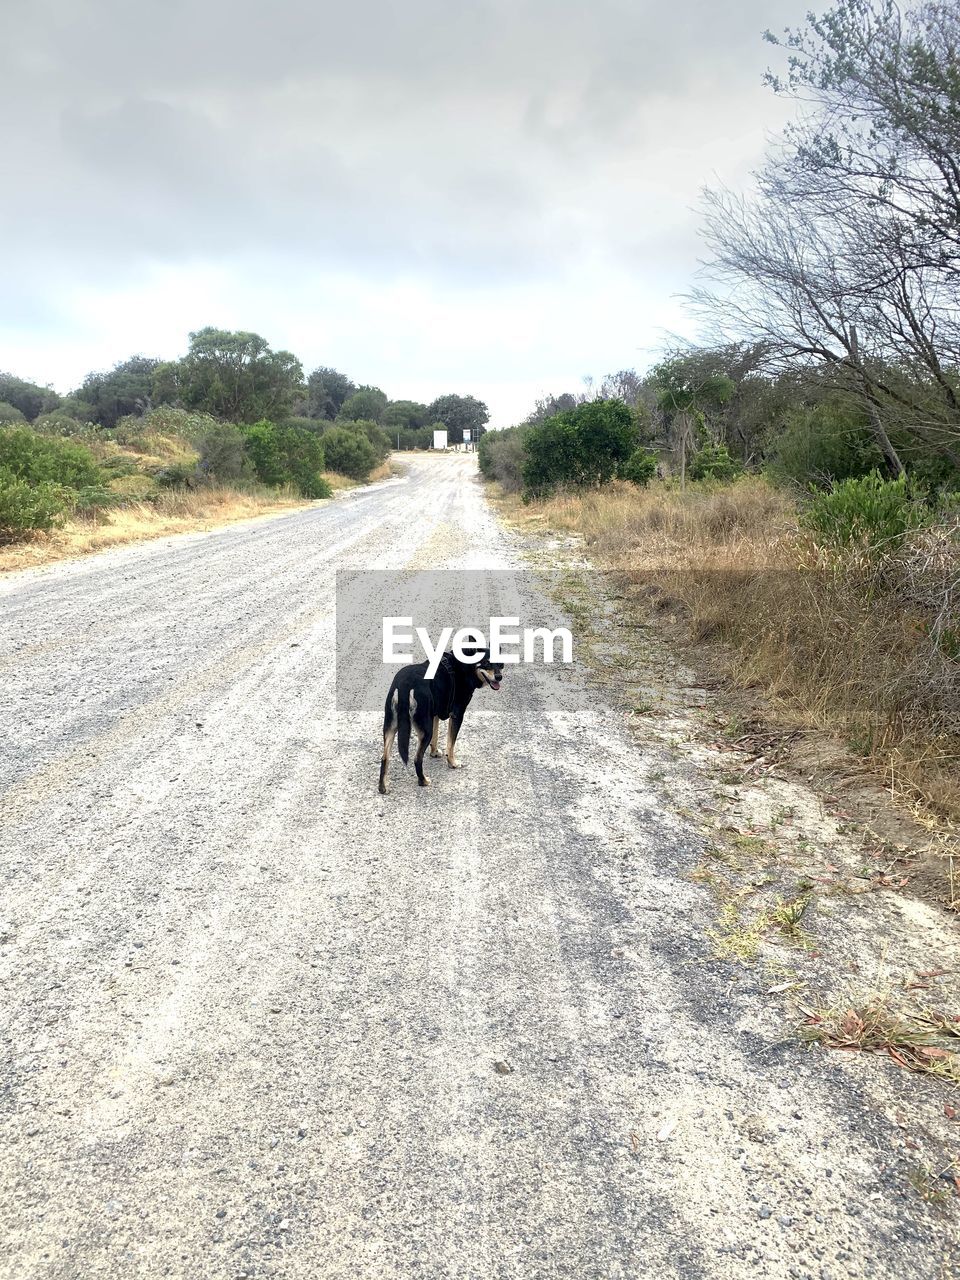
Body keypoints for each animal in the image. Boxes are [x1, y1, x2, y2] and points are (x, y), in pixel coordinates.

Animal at [378, 650, 506, 788]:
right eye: (486, 663)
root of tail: (404, 687)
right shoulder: (457, 715)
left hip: (390, 727)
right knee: (417, 758)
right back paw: (423, 781)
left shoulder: (435, 714)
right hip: (425, 729)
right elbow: (450, 744)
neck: (464, 666)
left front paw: (434, 752)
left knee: (384, 758)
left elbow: (436, 734)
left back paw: (383, 787)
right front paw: (452, 763)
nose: (499, 677)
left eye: (500, 663)